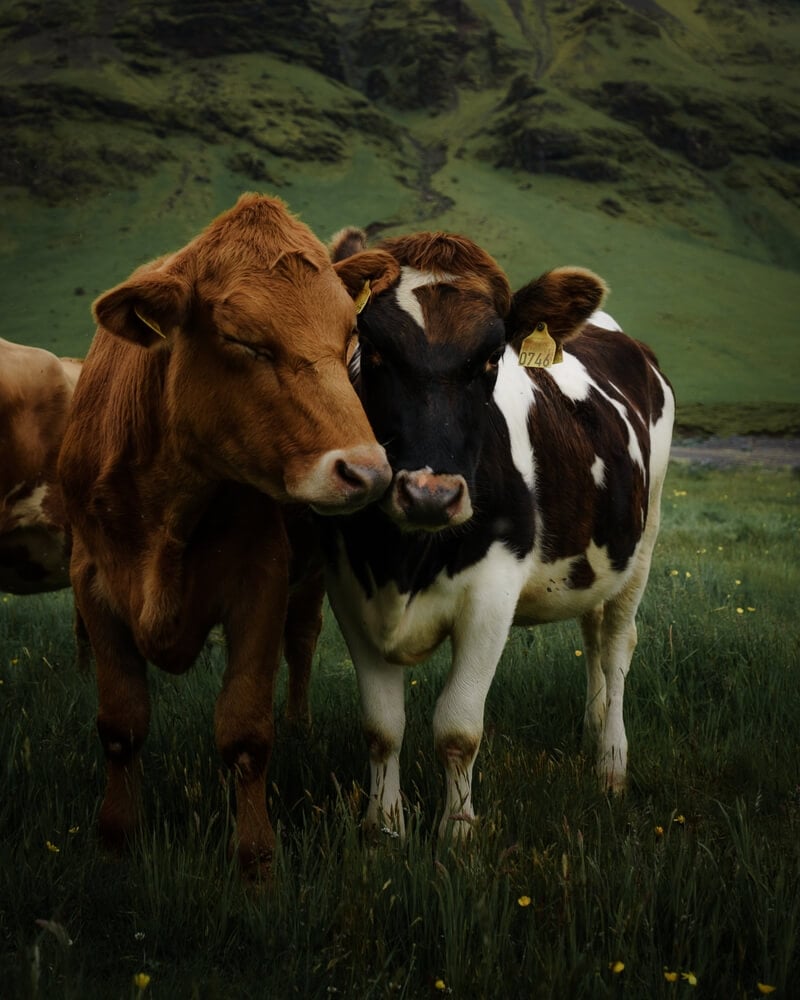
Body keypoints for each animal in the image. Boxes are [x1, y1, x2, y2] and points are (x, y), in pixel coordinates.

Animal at [57, 194, 394, 875]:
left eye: (350, 338)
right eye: (243, 341)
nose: (366, 471)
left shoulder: (261, 581)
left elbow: (245, 731)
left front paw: (256, 862)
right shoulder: (92, 583)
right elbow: (120, 724)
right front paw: (115, 839)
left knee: (302, 643)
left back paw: (299, 723)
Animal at [324, 227, 675, 842]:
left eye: (490, 358)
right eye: (374, 350)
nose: (430, 494)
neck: (402, 561)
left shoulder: (492, 592)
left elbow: (458, 727)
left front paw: (457, 831)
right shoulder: (349, 588)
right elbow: (381, 726)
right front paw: (383, 827)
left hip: (644, 540)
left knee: (616, 646)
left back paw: (611, 764)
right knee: (592, 632)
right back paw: (591, 730)